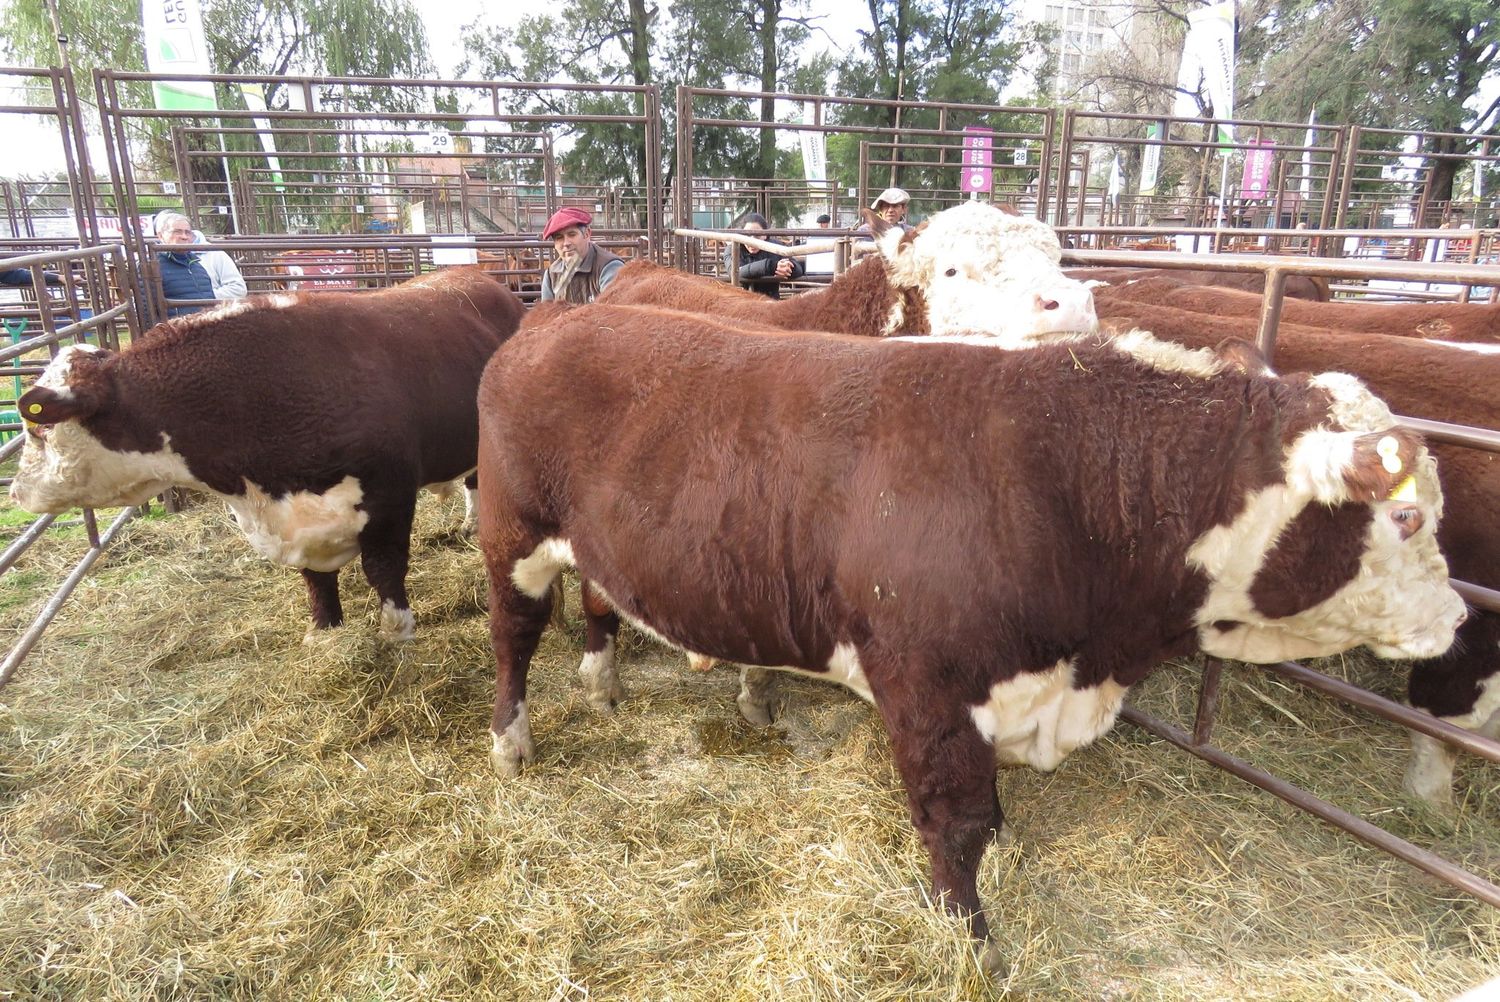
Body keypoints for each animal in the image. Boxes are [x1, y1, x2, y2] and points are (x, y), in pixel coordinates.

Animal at [11, 265, 525, 639]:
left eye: (37, 427)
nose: (16, 491)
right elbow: (315, 579)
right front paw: (325, 632)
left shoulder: (388, 497)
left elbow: (384, 570)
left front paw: (396, 635)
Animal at [477, 307, 1464, 972]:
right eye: (1407, 516)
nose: (1457, 620)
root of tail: (556, 317)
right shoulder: (927, 687)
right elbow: (956, 822)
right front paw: (972, 940)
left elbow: (990, 814)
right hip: (510, 536)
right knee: (513, 637)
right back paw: (512, 741)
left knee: (597, 599)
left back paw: (608, 681)